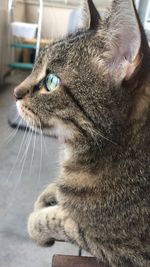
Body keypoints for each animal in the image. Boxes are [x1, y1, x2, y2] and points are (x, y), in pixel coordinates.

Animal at [13, 0, 149, 267]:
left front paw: (40, 221)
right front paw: (49, 194)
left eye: (51, 81)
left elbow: (61, 221)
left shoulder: (121, 250)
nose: (14, 92)